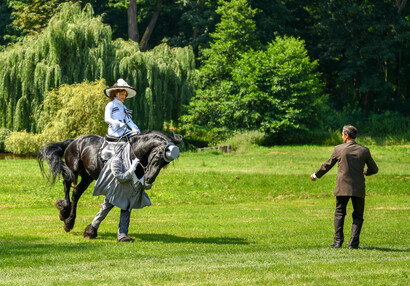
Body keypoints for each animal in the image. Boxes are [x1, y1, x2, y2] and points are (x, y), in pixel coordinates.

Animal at [38, 131, 183, 231]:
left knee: (76, 193)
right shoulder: (117, 184)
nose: (149, 178)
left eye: (165, 163)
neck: (134, 153)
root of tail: (75, 141)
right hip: (73, 171)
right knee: (67, 186)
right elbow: (110, 204)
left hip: (87, 177)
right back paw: (65, 213)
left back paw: (70, 221)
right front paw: (91, 230)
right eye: (158, 156)